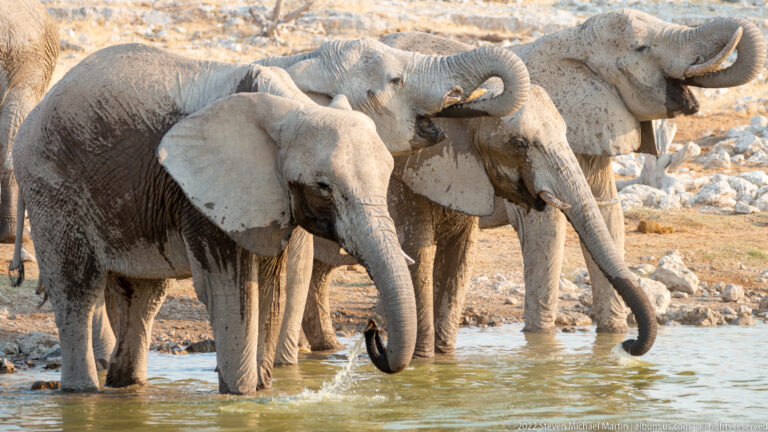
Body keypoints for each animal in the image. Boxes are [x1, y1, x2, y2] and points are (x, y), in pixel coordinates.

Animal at [9, 43, 420, 394]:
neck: (290, 107)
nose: (372, 329)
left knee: (142, 295)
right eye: (323, 187)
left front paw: (262, 392)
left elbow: (269, 290)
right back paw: (82, 394)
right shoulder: (203, 196)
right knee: (77, 289)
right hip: (51, 184)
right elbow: (230, 290)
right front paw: (240, 398)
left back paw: (127, 388)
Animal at [276, 84, 658, 365]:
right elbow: (417, 255)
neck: (460, 106)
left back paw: (326, 349)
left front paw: (445, 362)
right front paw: (424, 364)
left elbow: (460, 257)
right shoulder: (401, 180)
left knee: (318, 272)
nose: (627, 345)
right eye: (518, 143)